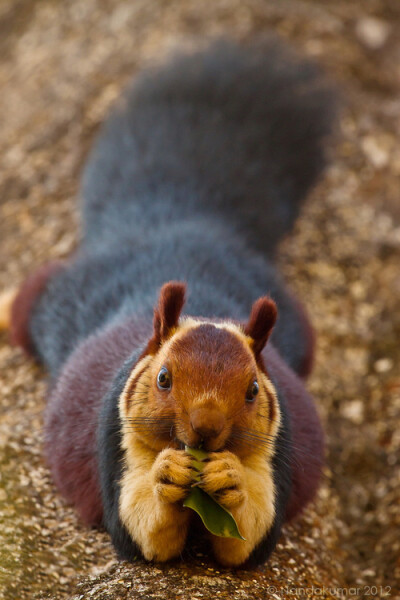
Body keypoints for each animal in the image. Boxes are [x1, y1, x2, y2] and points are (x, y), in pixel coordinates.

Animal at [0, 36, 338, 568]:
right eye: (162, 378)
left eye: (253, 391)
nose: (204, 428)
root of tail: (179, 222)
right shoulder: (113, 438)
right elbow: (137, 532)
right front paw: (168, 475)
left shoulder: (278, 449)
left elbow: (252, 537)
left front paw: (228, 477)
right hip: (68, 297)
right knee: (34, 294)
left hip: (296, 323)